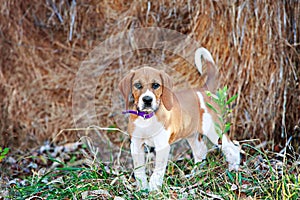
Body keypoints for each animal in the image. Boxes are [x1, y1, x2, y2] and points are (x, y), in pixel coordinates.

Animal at [118, 47, 240, 191]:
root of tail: (204, 90)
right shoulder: (136, 145)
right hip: (192, 135)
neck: (147, 118)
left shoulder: (162, 146)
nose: (147, 100)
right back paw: (195, 175)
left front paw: (154, 190)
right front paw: (142, 188)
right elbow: (139, 171)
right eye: (137, 85)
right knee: (201, 151)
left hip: (214, 132)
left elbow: (157, 172)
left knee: (232, 147)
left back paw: (234, 170)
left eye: (155, 85)